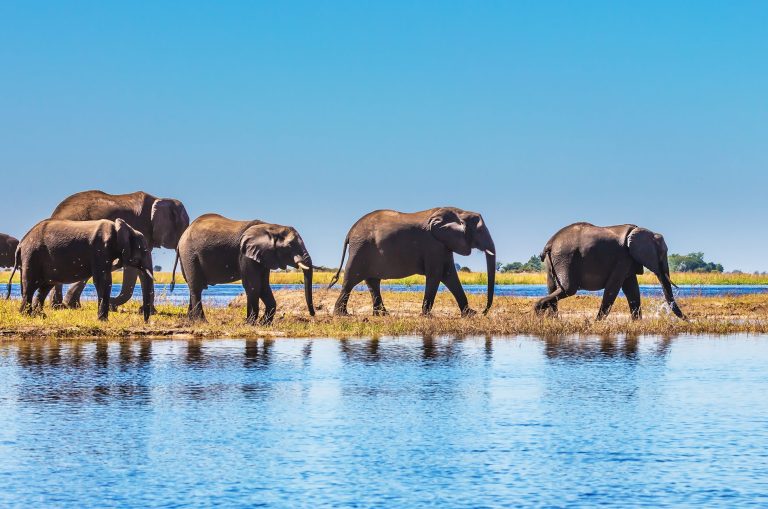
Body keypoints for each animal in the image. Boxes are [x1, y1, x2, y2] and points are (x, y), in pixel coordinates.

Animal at [6, 218, 154, 321]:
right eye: (145, 251)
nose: (145, 321)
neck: (125, 228)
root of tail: (21, 244)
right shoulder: (100, 249)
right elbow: (103, 280)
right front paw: (103, 321)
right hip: (32, 256)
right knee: (30, 287)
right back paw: (26, 315)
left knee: (45, 286)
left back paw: (40, 316)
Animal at [48, 190, 189, 312]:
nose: (171, 286)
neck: (159, 199)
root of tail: (54, 214)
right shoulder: (140, 228)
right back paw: (62, 306)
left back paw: (62, 306)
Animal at [175, 214, 315, 324]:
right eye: (290, 245)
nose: (312, 314)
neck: (271, 227)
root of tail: (184, 233)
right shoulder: (244, 254)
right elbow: (253, 286)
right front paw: (250, 323)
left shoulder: (264, 256)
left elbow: (263, 286)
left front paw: (263, 324)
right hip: (189, 253)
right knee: (196, 287)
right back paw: (202, 322)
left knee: (192, 286)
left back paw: (190, 321)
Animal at [328, 207, 496, 317]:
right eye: (480, 230)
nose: (484, 311)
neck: (460, 212)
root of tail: (350, 231)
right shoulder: (433, 245)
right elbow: (436, 275)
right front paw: (427, 316)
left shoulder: (443, 245)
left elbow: (450, 276)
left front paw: (470, 314)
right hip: (360, 249)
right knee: (351, 279)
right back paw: (342, 314)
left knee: (372, 281)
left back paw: (382, 314)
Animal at [534, 222, 686, 320]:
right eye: (663, 253)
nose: (688, 320)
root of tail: (550, 243)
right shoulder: (623, 258)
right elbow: (613, 289)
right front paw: (596, 323)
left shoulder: (628, 260)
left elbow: (632, 291)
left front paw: (637, 323)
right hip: (566, 257)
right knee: (568, 289)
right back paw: (538, 313)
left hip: (554, 261)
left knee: (552, 287)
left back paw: (549, 319)